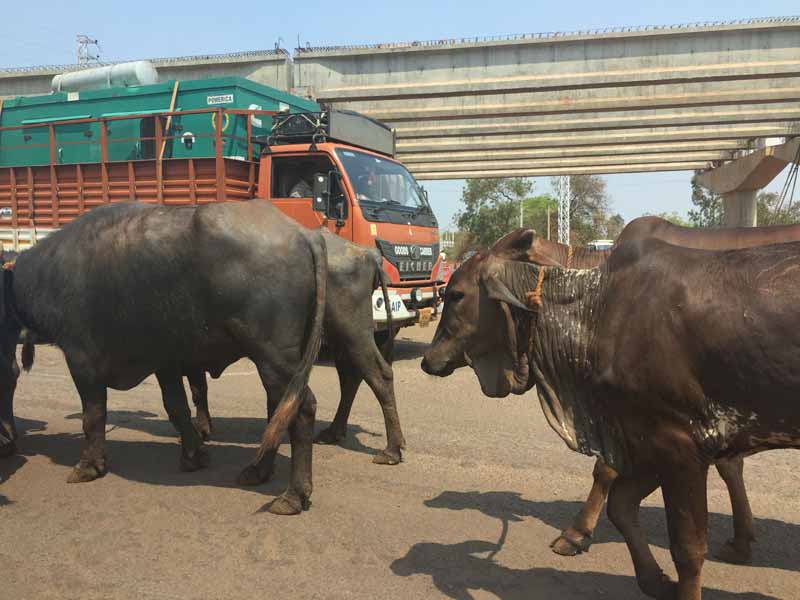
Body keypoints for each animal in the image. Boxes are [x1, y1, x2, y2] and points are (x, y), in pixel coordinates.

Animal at [0, 202, 326, 516]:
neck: (45, 275)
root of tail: (302, 233)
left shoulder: (82, 361)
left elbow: (92, 416)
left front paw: (88, 465)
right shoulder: (164, 361)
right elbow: (176, 407)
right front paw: (194, 454)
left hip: (273, 357)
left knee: (300, 409)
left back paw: (294, 494)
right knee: (279, 410)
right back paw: (258, 471)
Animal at [428, 230, 800, 600]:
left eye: (456, 294)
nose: (428, 359)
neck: (596, 308)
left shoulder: (679, 445)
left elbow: (687, 548)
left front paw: (576, 534)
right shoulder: (645, 439)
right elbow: (621, 504)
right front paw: (654, 579)